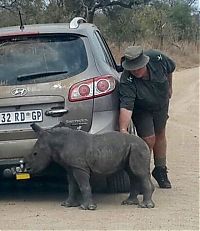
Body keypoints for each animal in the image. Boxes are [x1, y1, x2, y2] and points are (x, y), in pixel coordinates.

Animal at [24, 123, 155, 210]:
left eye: (35, 154)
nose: (27, 168)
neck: (55, 141)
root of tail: (145, 143)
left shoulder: (79, 167)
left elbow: (83, 185)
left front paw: (87, 207)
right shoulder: (72, 167)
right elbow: (72, 185)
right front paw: (68, 205)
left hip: (137, 148)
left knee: (139, 173)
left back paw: (145, 206)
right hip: (132, 148)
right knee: (132, 173)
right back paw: (129, 202)